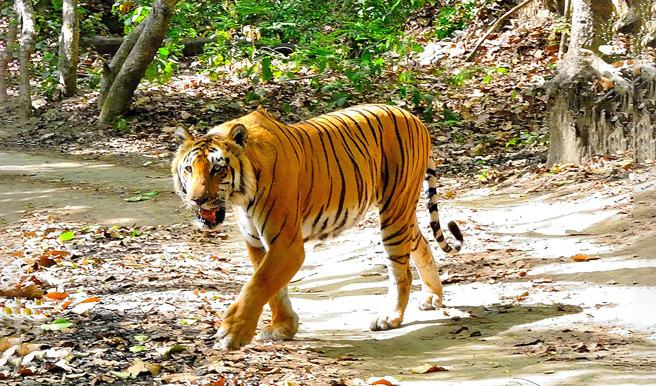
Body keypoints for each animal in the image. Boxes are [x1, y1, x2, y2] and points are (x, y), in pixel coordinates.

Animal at [172, 104, 464, 352]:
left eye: (217, 169)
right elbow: (273, 290)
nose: (196, 199)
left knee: (400, 272)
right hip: (401, 214)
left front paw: (232, 334)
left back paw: (390, 317)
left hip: (394, 210)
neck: (241, 198)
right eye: (188, 169)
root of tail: (414, 117)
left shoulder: (286, 244)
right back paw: (432, 297)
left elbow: (258, 284)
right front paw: (283, 327)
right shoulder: (256, 242)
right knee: (421, 243)